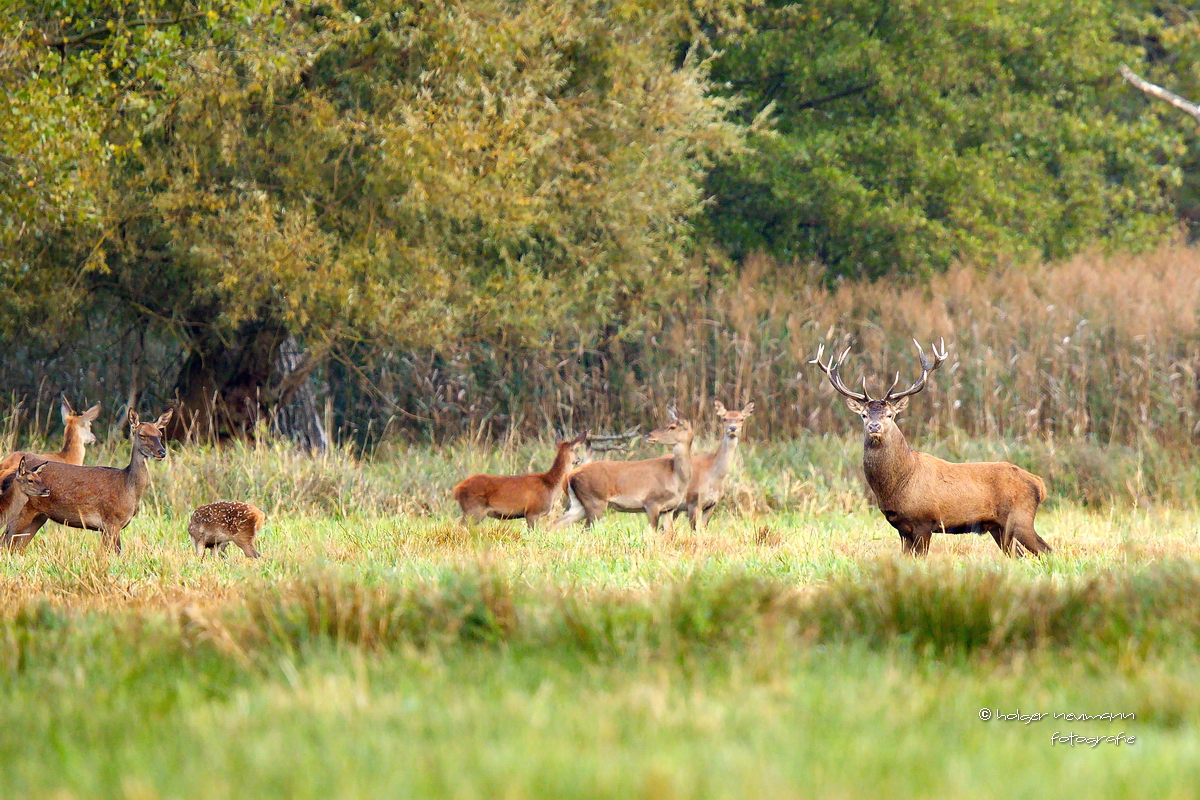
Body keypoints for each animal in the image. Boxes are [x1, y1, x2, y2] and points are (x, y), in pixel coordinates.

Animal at [2, 410, 174, 554]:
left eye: (159, 434)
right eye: (142, 434)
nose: (161, 452)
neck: (129, 488)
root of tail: (9, 473)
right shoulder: (111, 521)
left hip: (39, 517)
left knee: (15, 547)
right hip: (21, 512)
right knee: (6, 542)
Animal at [451, 431, 588, 532]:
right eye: (576, 450)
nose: (579, 459)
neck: (550, 485)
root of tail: (457, 489)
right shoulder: (533, 511)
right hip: (474, 509)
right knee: (460, 526)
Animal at [552, 410, 696, 534]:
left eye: (672, 426)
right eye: (669, 424)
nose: (649, 435)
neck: (675, 478)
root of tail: (568, 476)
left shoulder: (669, 509)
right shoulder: (651, 502)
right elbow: (653, 532)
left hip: (579, 505)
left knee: (555, 524)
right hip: (595, 501)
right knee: (584, 529)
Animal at [672, 400, 753, 532]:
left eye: (742, 418)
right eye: (724, 418)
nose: (732, 428)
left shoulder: (712, 504)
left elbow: (704, 528)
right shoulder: (693, 502)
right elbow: (694, 530)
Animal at [811, 340, 1056, 561]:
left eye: (889, 414)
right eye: (863, 415)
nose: (874, 426)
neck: (900, 483)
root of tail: (1039, 484)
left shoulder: (924, 521)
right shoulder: (902, 527)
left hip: (1020, 517)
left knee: (1045, 550)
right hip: (998, 527)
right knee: (1020, 555)